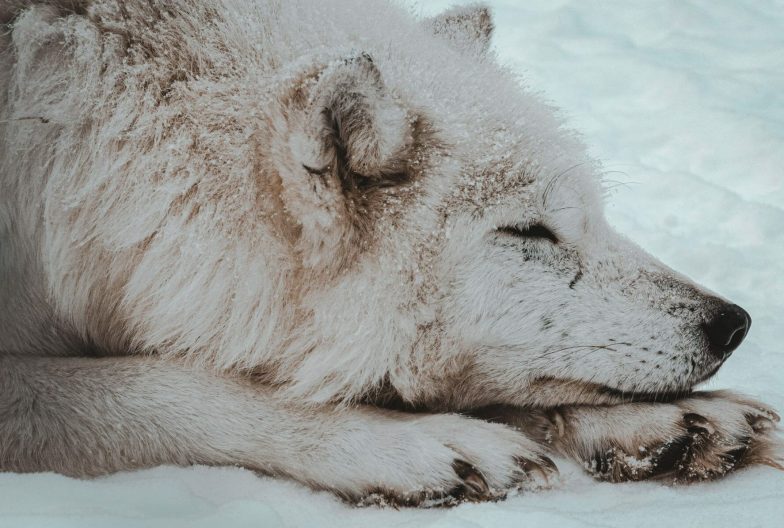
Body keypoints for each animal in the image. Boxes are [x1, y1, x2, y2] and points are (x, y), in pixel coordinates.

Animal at [0, 0, 780, 506]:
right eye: (530, 233)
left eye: (594, 216)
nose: (733, 322)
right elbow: (162, 386)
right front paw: (403, 443)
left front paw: (671, 421)